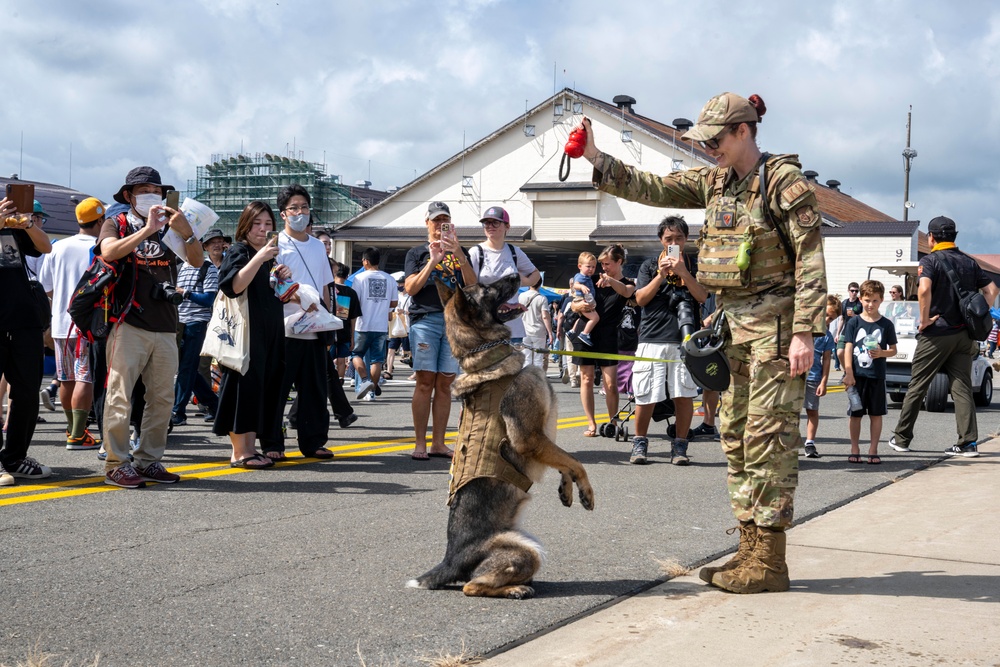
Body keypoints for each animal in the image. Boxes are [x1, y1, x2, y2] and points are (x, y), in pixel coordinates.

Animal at [406, 272, 592, 600]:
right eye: (486, 289)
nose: (519, 275)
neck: (484, 355)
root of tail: (451, 558)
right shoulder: (530, 439)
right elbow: (575, 462)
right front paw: (586, 492)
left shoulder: (542, 440)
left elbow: (565, 462)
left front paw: (567, 490)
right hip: (528, 551)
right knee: (471, 586)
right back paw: (515, 589)